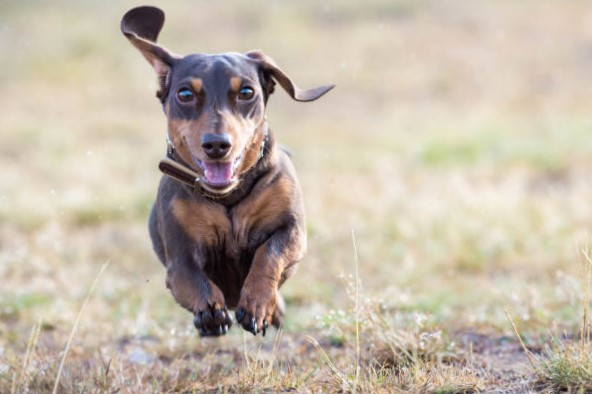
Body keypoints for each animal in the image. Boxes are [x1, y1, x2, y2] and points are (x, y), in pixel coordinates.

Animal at [120, 6, 332, 338]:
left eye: (246, 91)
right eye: (185, 94)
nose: (217, 144)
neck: (228, 196)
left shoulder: (293, 231)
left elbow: (269, 255)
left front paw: (258, 305)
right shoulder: (179, 257)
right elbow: (192, 278)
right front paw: (209, 312)